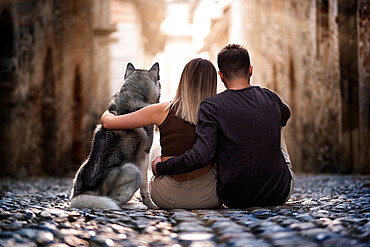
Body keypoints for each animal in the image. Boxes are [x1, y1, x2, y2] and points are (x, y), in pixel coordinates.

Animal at [70, 62, 160, 209]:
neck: (135, 94)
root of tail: (85, 193)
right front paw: (151, 205)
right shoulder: (144, 156)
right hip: (133, 170)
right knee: (115, 202)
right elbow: (145, 189)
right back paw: (134, 205)